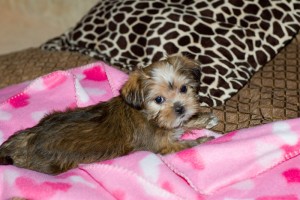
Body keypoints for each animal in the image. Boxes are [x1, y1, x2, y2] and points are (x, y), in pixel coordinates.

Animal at [0, 55, 217, 174]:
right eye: (159, 100)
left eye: (184, 89)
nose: (180, 108)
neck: (146, 113)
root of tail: (25, 139)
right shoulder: (162, 146)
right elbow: (184, 144)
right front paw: (203, 140)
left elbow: (182, 124)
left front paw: (203, 118)